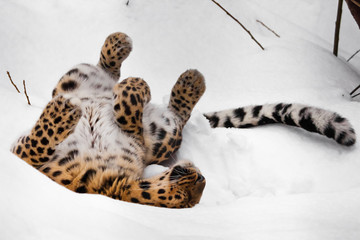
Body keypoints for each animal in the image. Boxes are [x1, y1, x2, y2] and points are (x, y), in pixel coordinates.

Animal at [10, 31, 354, 208]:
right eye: (184, 197)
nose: (201, 177)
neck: (110, 187)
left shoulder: (145, 143)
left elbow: (129, 116)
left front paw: (133, 90)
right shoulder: (23, 157)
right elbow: (34, 146)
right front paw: (64, 114)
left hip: (156, 129)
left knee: (175, 111)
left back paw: (180, 75)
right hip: (76, 79)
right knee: (112, 74)